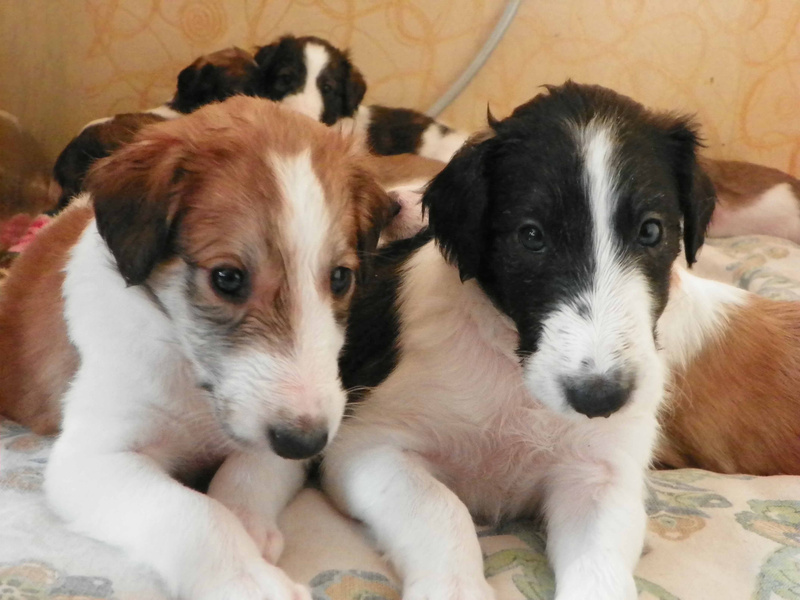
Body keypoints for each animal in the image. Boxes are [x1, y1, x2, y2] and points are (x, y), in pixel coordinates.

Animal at [0, 96, 393, 599]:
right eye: (227, 278)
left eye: (341, 278)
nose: (304, 440)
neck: (190, 374)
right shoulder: (92, 458)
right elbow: (194, 512)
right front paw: (248, 579)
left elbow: (247, 469)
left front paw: (248, 526)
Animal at [322, 82, 716, 600]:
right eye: (531, 236)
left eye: (651, 230)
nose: (601, 399)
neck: (518, 382)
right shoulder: (367, 444)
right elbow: (440, 507)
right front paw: (456, 589)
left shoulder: (600, 475)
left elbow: (601, 571)